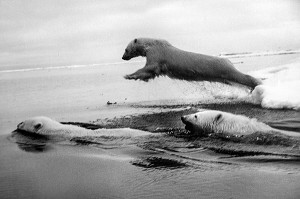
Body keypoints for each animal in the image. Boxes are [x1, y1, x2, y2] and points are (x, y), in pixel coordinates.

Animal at [120, 37, 262, 90]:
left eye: (126, 49)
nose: (123, 57)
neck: (151, 44)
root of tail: (228, 60)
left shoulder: (156, 54)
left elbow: (150, 68)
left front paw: (129, 75)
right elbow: (151, 73)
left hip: (223, 68)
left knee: (239, 75)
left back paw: (257, 83)